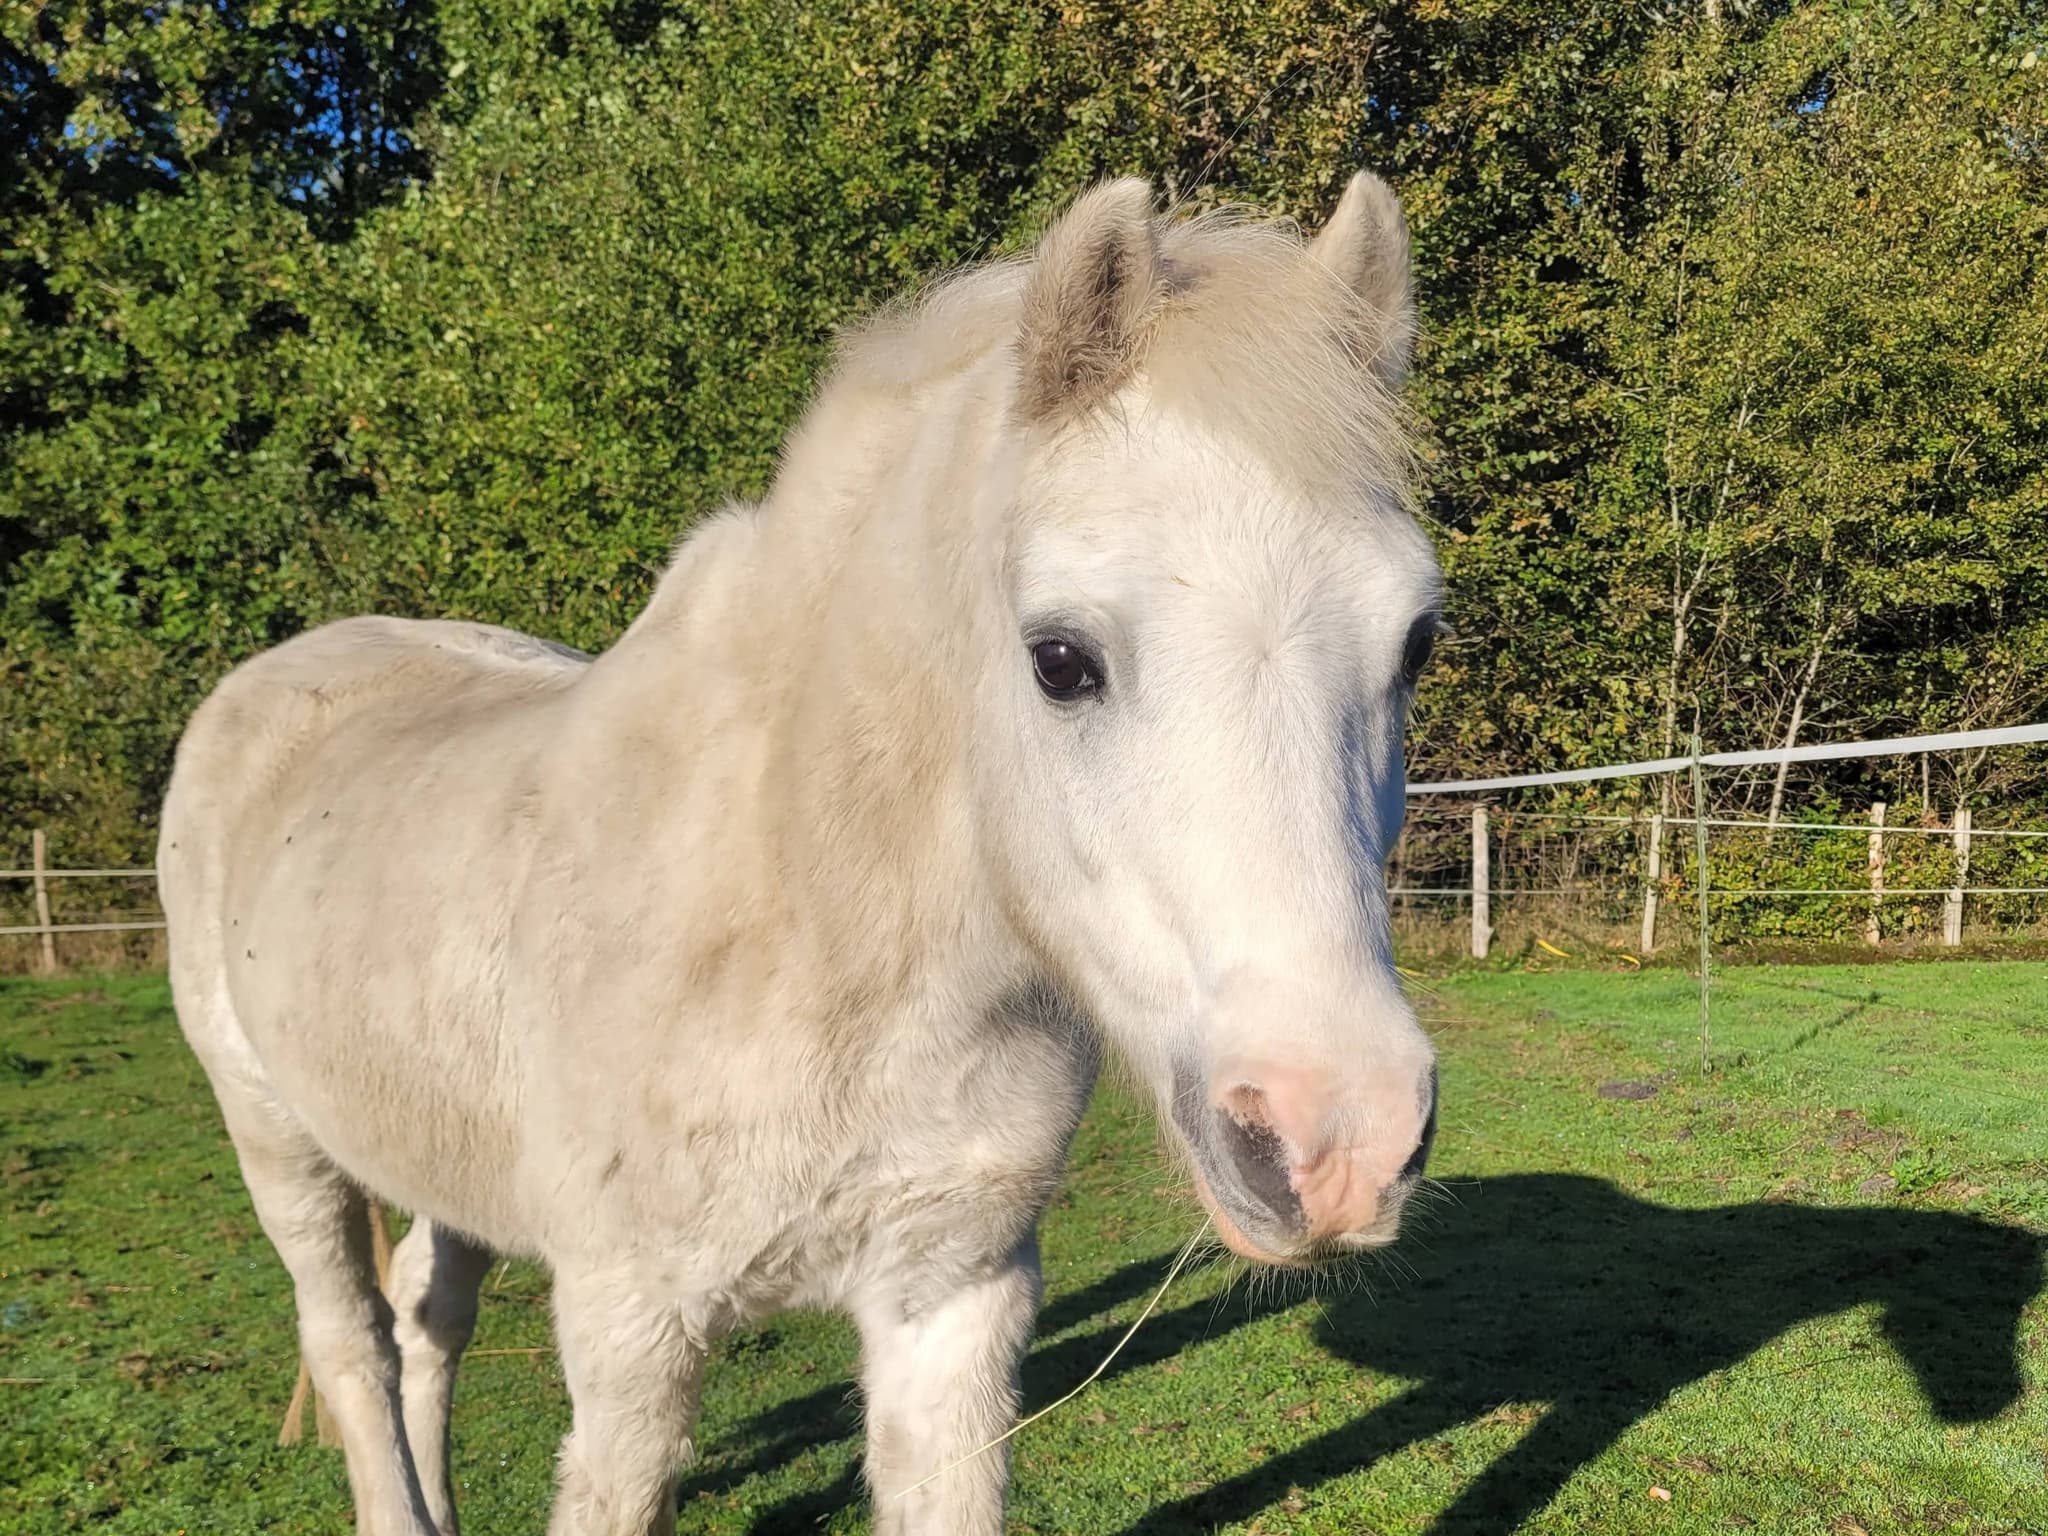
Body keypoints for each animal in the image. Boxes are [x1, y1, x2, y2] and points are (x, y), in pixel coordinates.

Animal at [157, 169, 1444, 1536]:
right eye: (1059, 659)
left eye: (1415, 641)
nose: (1336, 1141)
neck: (809, 923)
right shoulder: (628, 1337)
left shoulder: (951, 1306)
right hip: (275, 1139)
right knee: (350, 1340)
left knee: (424, 1314)